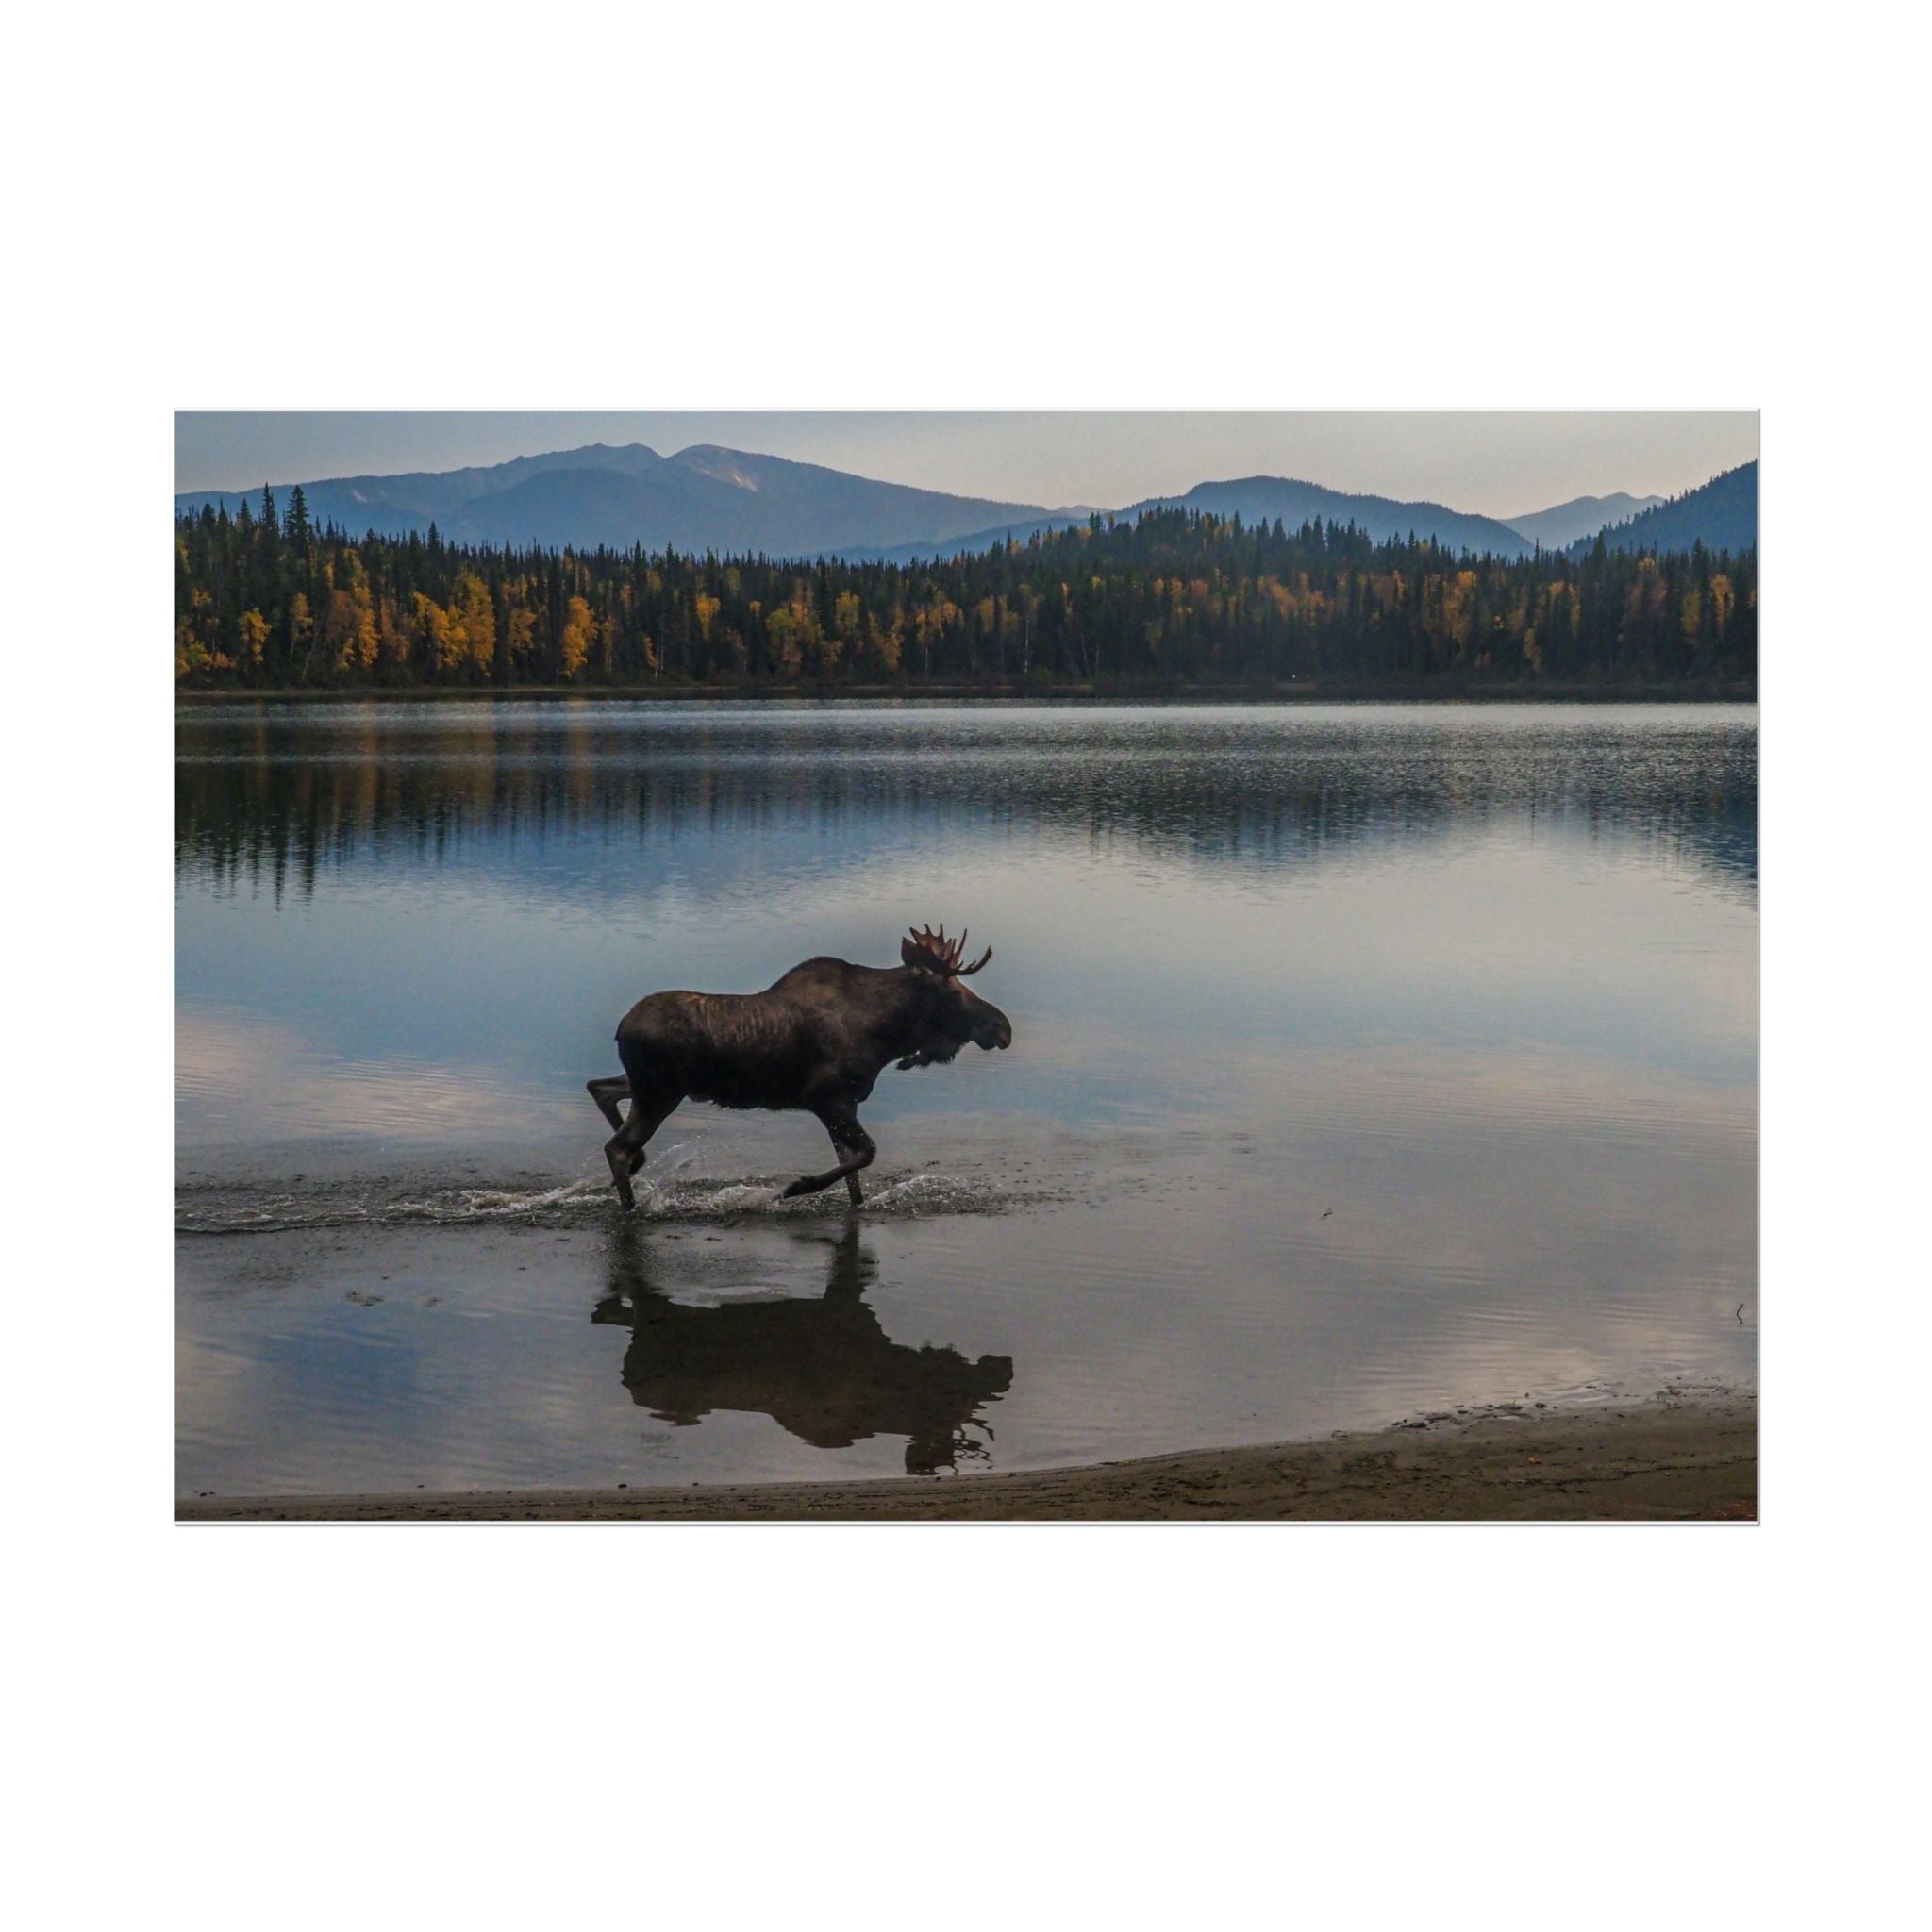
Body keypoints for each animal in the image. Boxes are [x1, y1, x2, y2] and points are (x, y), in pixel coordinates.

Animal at [588, 924, 1013, 1212]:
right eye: (952, 990)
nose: (1003, 1028)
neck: (885, 1036)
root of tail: (620, 1028)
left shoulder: (846, 1103)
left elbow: (853, 1173)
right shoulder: (826, 1098)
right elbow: (867, 1153)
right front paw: (796, 1187)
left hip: (652, 1087)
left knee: (600, 1088)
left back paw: (638, 1167)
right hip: (659, 1093)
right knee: (617, 1148)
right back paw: (630, 1204)